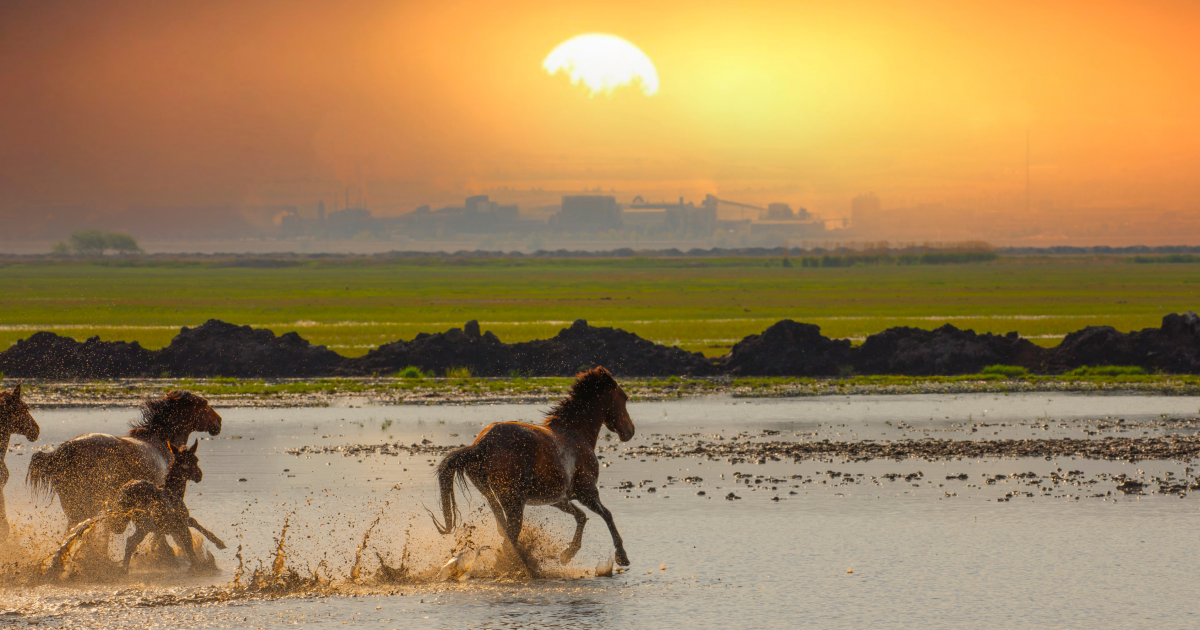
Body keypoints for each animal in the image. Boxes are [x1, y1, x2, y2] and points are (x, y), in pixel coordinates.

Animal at [105, 436, 225, 568]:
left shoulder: (173, 526)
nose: (199, 475)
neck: (175, 492)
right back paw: (124, 568)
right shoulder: (181, 524)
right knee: (131, 542)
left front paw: (219, 543)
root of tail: (128, 491)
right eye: (195, 460)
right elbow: (190, 549)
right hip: (144, 525)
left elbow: (193, 523)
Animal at [432, 362, 638, 573]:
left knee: (504, 529)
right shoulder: (587, 492)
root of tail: (481, 445)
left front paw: (567, 555)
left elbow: (581, 516)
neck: (576, 434)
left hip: (491, 494)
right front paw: (622, 556)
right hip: (515, 501)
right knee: (511, 535)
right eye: (624, 397)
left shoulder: (557, 498)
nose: (629, 431)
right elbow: (607, 515)